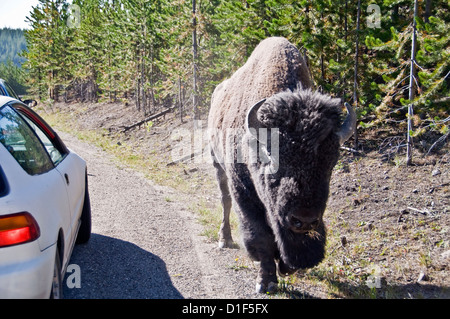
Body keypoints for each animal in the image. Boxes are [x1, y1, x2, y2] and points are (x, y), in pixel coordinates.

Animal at [207, 36, 356, 294]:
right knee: (225, 200)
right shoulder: (244, 191)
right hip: (218, 165)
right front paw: (266, 281)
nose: (304, 219)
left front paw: (286, 267)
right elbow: (260, 235)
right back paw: (224, 239)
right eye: (273, 159)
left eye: (330, 164)